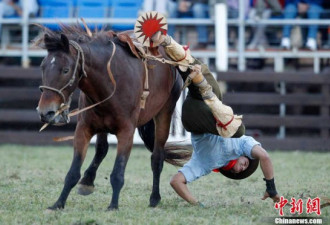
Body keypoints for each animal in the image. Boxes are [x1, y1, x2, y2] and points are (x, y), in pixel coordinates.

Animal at [34, 25, 189, 210]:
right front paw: (58, 203)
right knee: (102, 149)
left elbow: (117, 173)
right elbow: (73, 172)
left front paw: (113, 205)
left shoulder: (126, 132)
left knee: (157, 158)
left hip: (164, 113)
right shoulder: (84, 128)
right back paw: (87, 181)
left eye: (65, 70)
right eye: (42, 67)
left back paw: (154, 198)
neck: (111, 78)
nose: (45, 112)